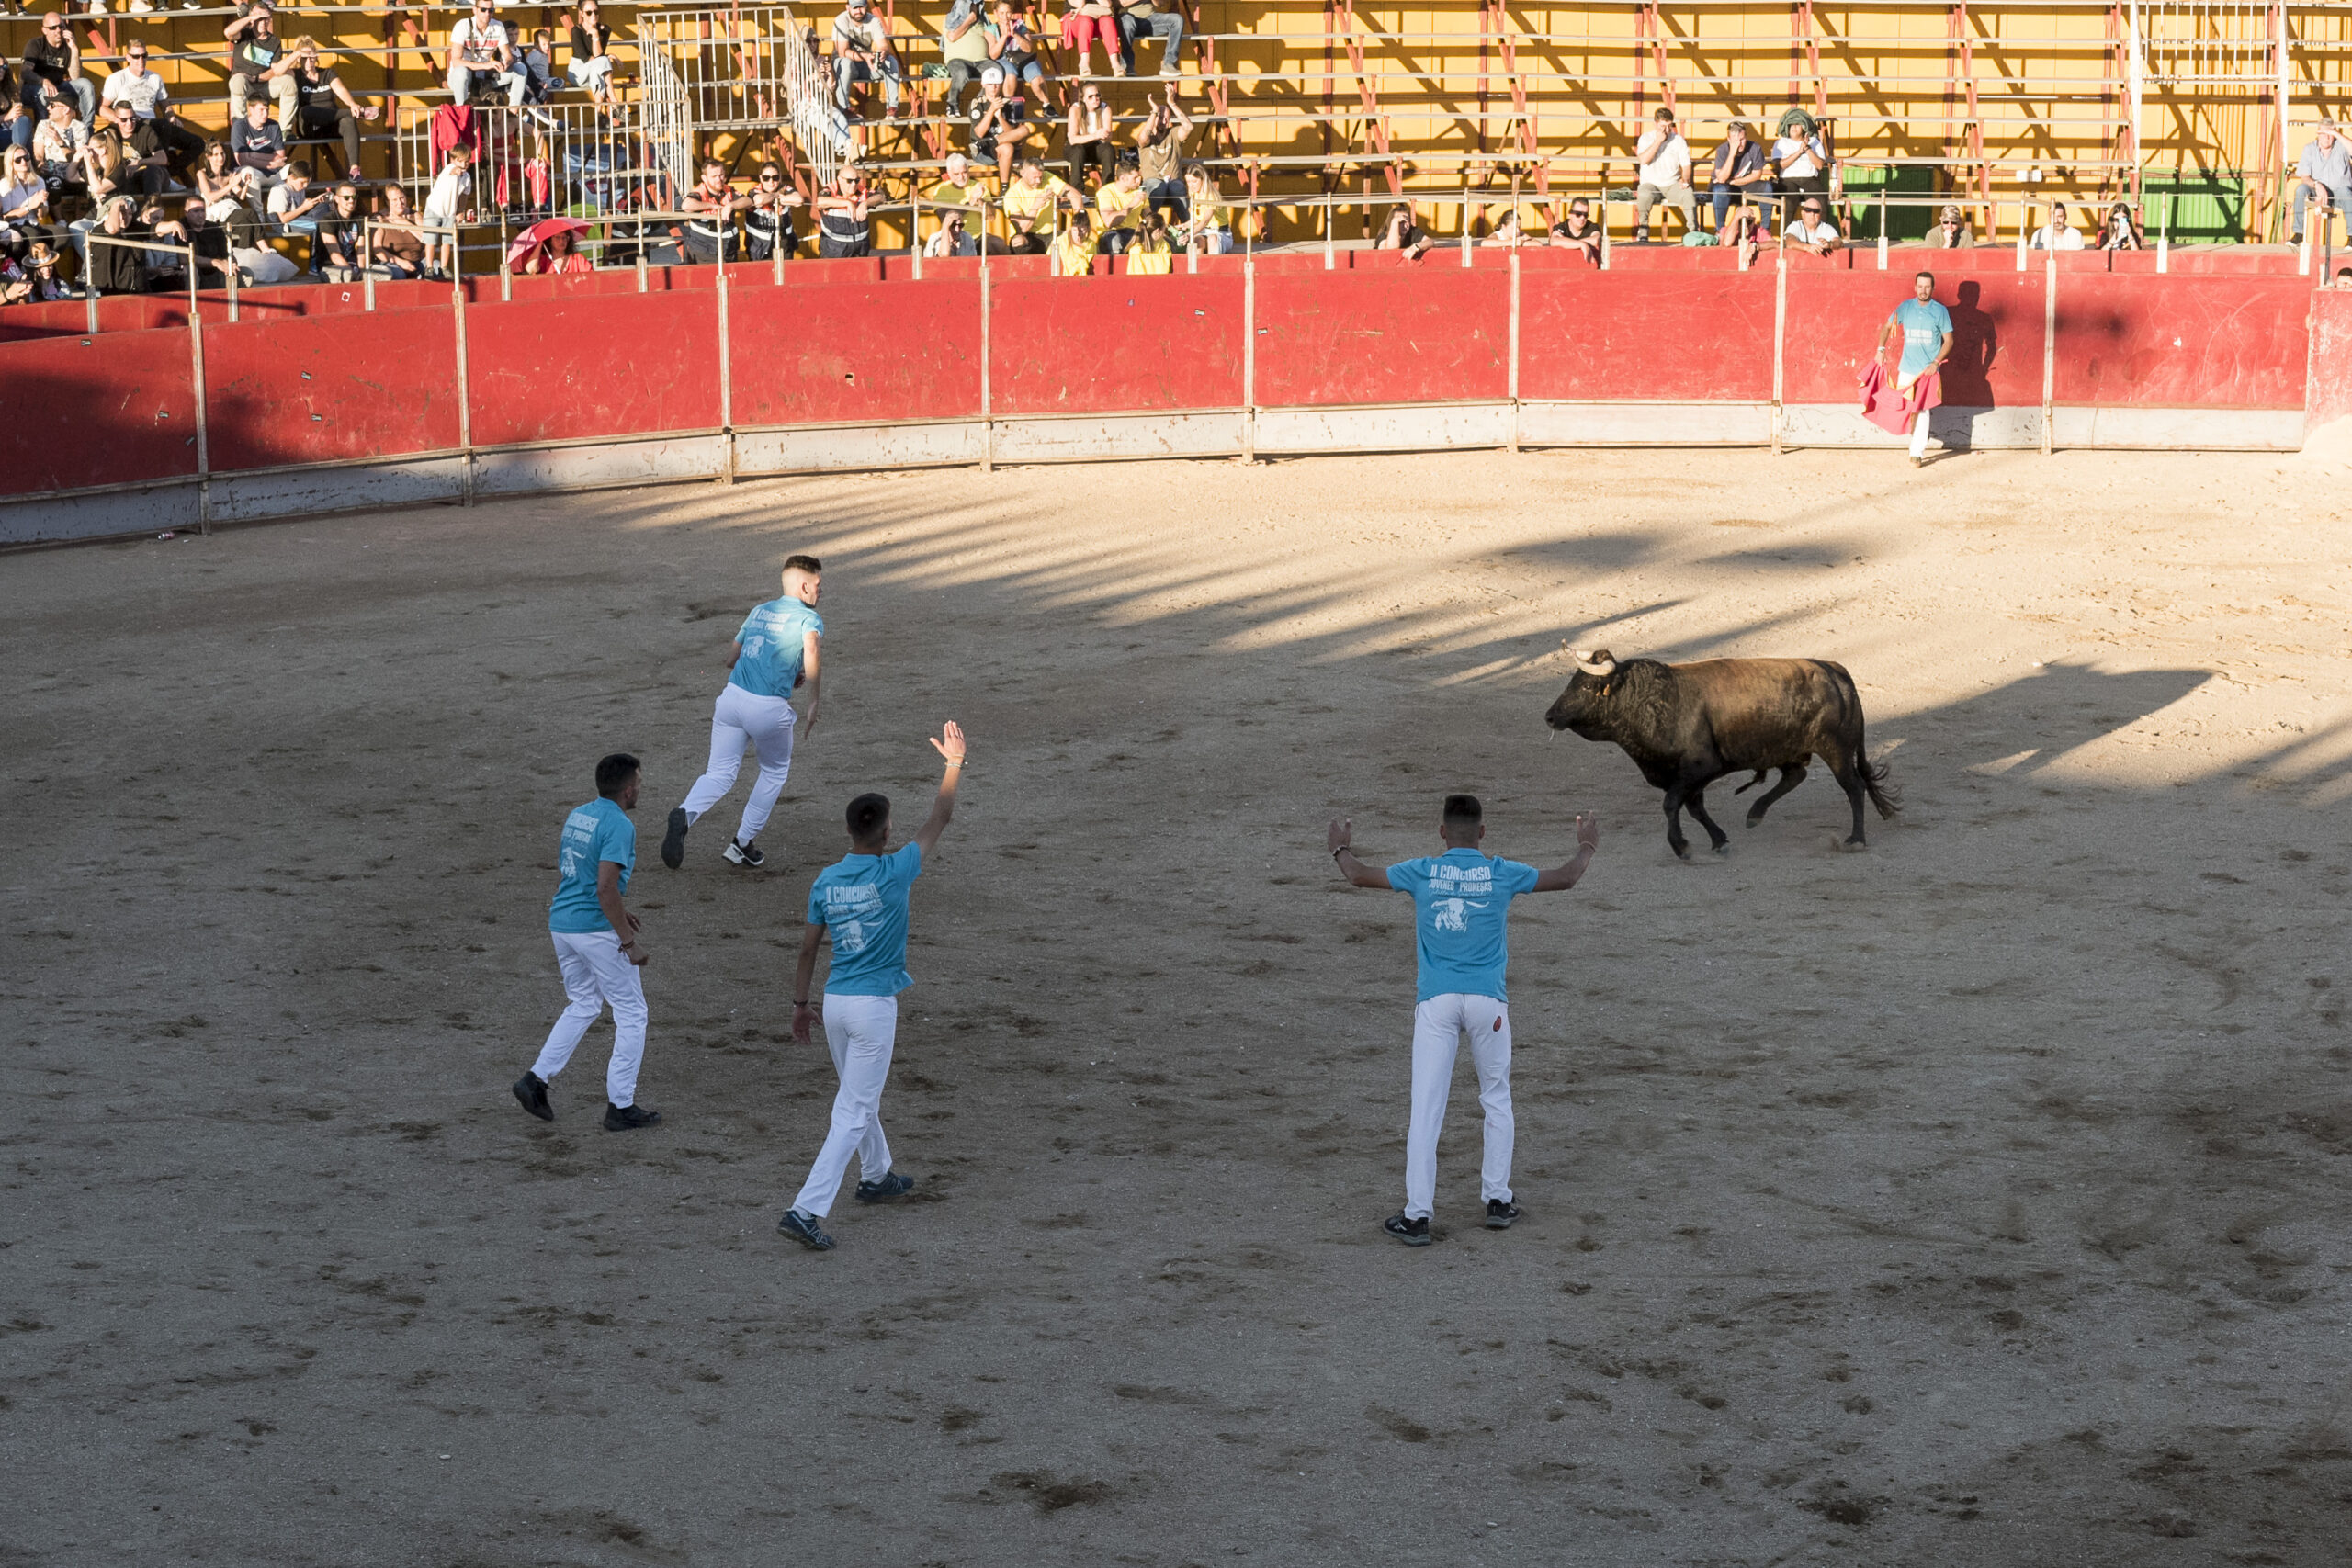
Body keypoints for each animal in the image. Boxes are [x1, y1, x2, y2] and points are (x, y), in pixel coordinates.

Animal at [1533, 649, 1900, 860]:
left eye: (1585, 686)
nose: (1549, 717)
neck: (1652, 701)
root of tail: (1834, 669)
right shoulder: (1687, 777)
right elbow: (1694, 808)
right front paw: (1718, 840)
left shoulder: (1698, 768)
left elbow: (1672, 804)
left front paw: (1681, 846)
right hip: (1789, 749)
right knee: (1796, 775)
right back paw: (1755, 813)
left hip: (1836, 748)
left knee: (1853, 786)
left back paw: (1855, 839)